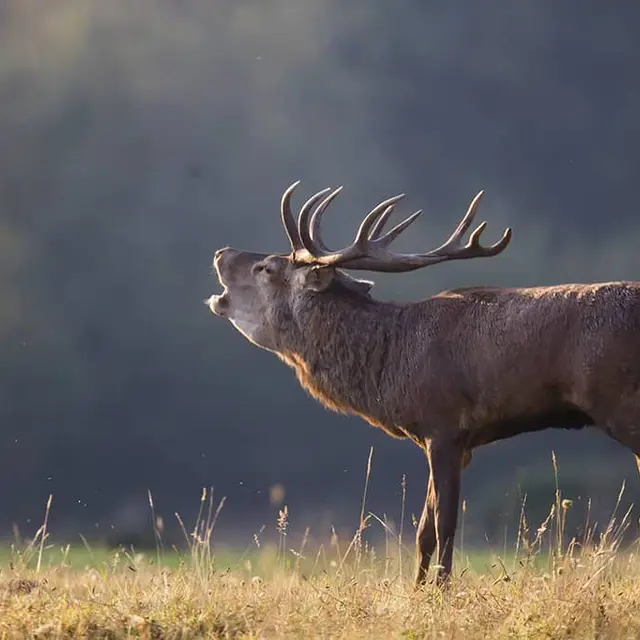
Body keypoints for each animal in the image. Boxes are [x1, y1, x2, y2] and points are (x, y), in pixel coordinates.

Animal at [207, 181, 640, 587]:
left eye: (265, 268)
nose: (220, 252)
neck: (391, 367)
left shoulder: (445, 427)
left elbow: (445, 526)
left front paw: (442, 591)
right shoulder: (450, 442)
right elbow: (423, 532)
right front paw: (417, 591)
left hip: (622, 405)